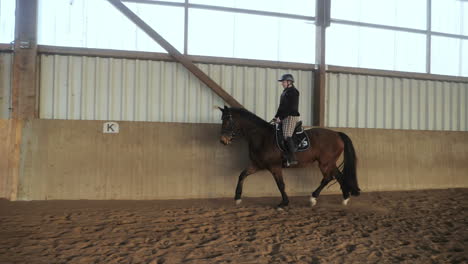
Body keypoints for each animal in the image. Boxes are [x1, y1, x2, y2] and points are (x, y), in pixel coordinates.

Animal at [218, 106, 360, 209]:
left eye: (227, 120)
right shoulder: (257, 165)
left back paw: (313, 198)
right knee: (339, 176)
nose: (223, 140)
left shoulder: (274, 167)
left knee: (328, 178)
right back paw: (345, 198)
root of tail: (337, 134)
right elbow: (242, 175)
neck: (262, 137)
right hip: (330, 163)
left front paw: (283, 203)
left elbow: (280, 184)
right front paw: (237, 198)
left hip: (325, 163)